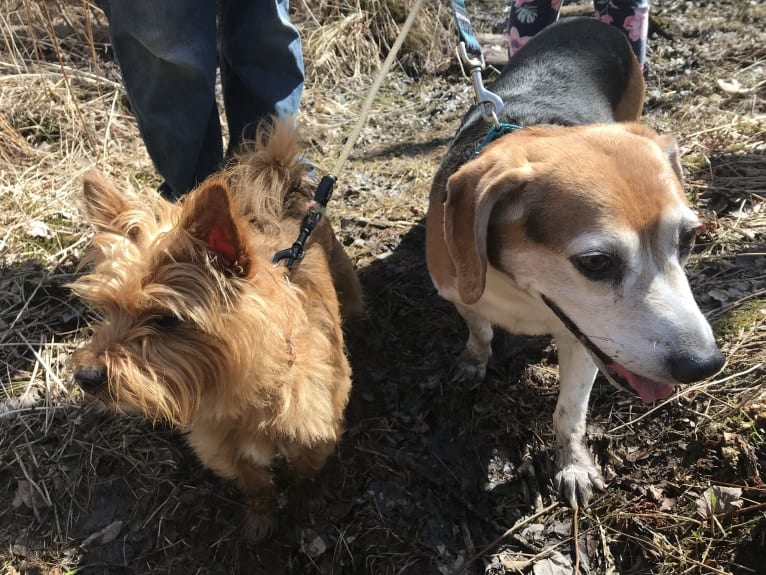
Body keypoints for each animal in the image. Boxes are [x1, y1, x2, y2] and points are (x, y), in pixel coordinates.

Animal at [69, 119, 364, 544]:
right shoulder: (225, 450)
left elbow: (305, 474)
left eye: (164, 320)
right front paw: (261, 516)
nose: (85, 377)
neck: (240, 393)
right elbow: (256, 484)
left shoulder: (313, 434)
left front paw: (308, 504)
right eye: (107, 310)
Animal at [426, 16, 728, 508]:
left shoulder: (584, 342)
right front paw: (475, 359)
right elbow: (479, 327)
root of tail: (590, 19)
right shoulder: (457, 289)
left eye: (687, 239)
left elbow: (568, 412)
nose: (705, 365)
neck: (522, 292)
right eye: (597, 263)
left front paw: (572, 465)